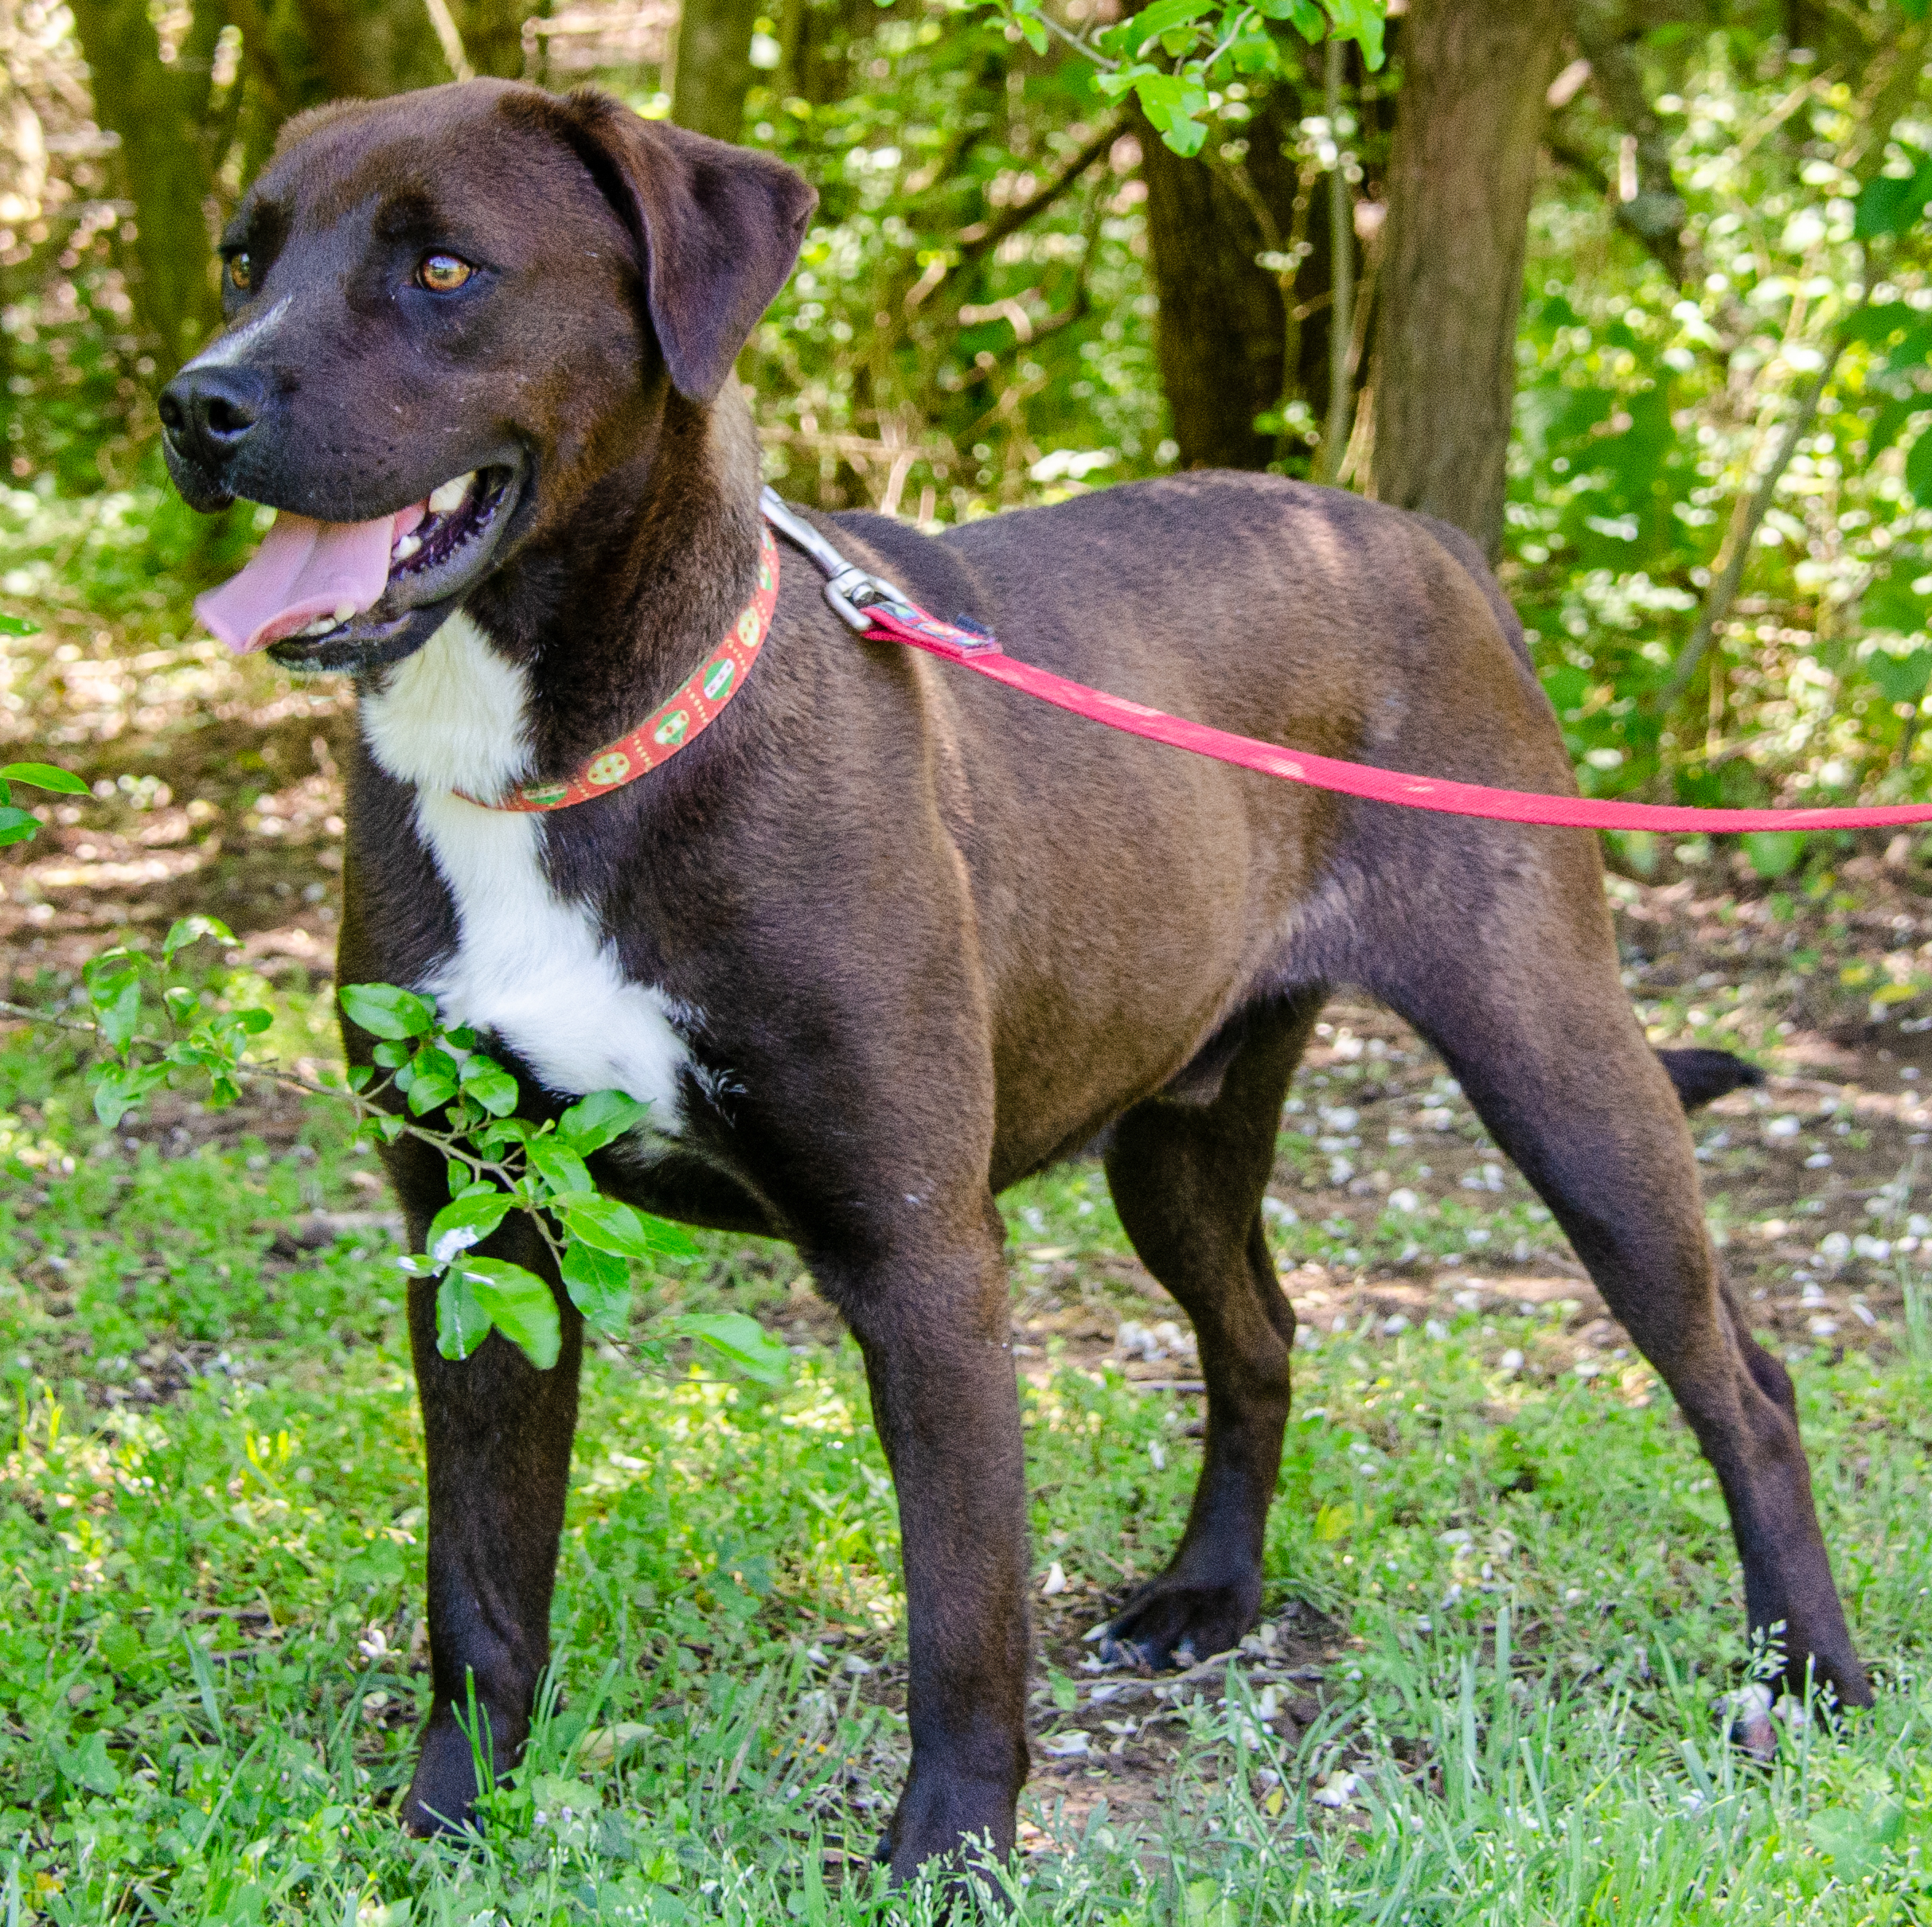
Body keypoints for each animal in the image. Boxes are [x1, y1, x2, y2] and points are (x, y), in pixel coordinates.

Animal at [166, 83, 1870, 1876]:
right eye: (244, 256)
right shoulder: (482, 1227)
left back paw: (1812, 1676)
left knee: (1744, 1384)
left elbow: (962, 1616)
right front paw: (447, 1817)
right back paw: (1206, 1596)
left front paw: (945, 1857)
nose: (196, 403)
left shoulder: (921, 1256)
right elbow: (481, 1587)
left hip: (1556, 1066)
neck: (565, 756)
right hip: (1179, 1131)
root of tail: (1430, 545)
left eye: (443, 267)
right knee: (1260, 1332)